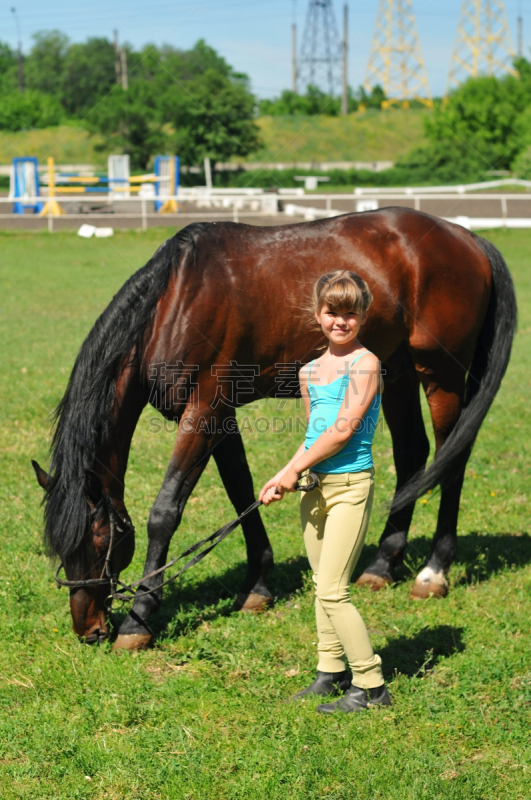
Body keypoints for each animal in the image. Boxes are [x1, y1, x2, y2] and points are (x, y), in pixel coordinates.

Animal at [32, 211, 516, 648]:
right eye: (59, 549)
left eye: (99, 542)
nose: (89, 630)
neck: (174, 303)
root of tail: (468, 238)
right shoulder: (221, 413)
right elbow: (241, 489)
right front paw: (258, 585)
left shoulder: (203, 411)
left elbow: (165, 511)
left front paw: (140, 618)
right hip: (395, 372)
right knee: (413, 453)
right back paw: (382, 564)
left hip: (440, 375)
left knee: (452, 457)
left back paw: (433, 572)